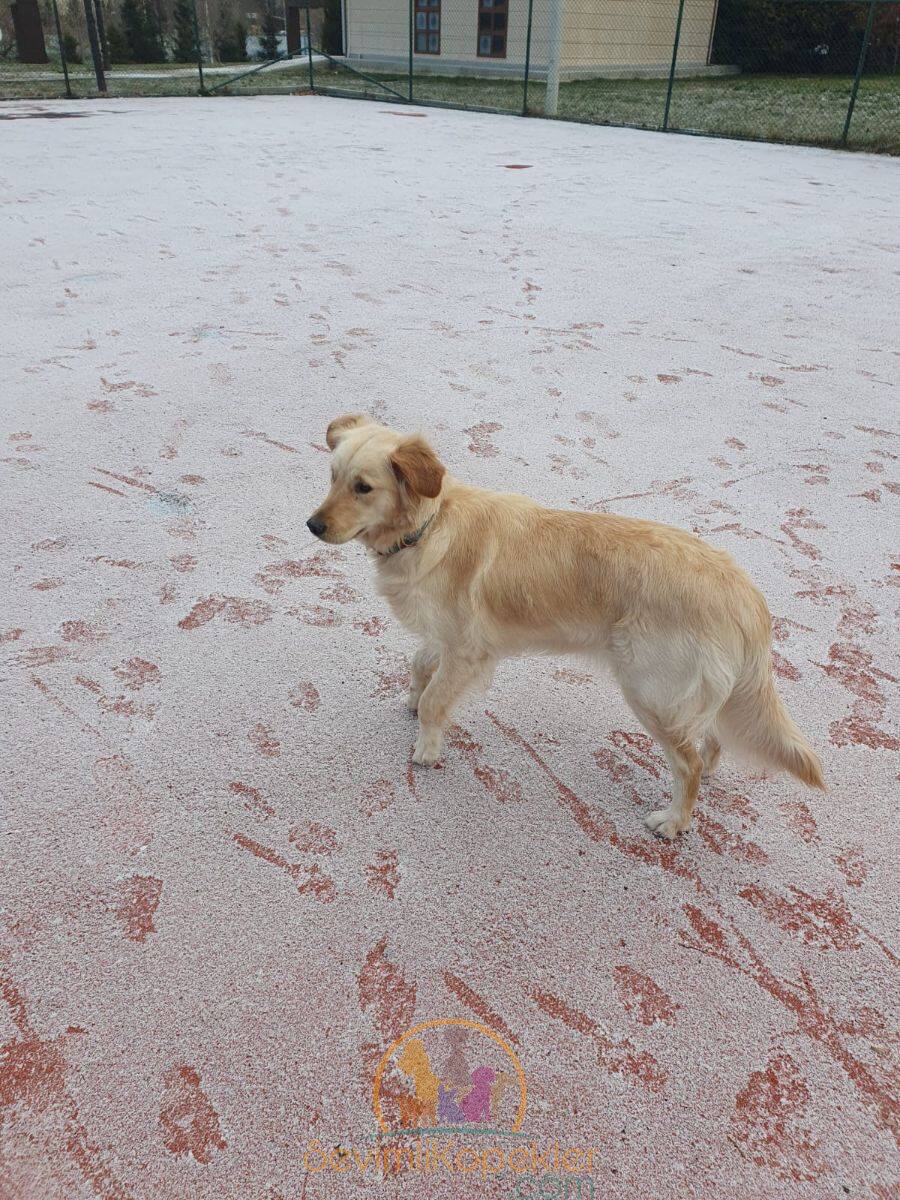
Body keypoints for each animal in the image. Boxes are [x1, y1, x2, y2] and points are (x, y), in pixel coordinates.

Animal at [309, 417, 825, 840]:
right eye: (332, 476)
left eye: (363, 487)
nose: (312, 525)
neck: (428, 525)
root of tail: (741, 588)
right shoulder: (448, 636)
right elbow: (420, 665)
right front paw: (414, 701)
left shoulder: (468, 649)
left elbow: (438, 699)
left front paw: (427, 747)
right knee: (711, 735)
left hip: (649, 691)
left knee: (690, 763)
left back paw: (674, 821)